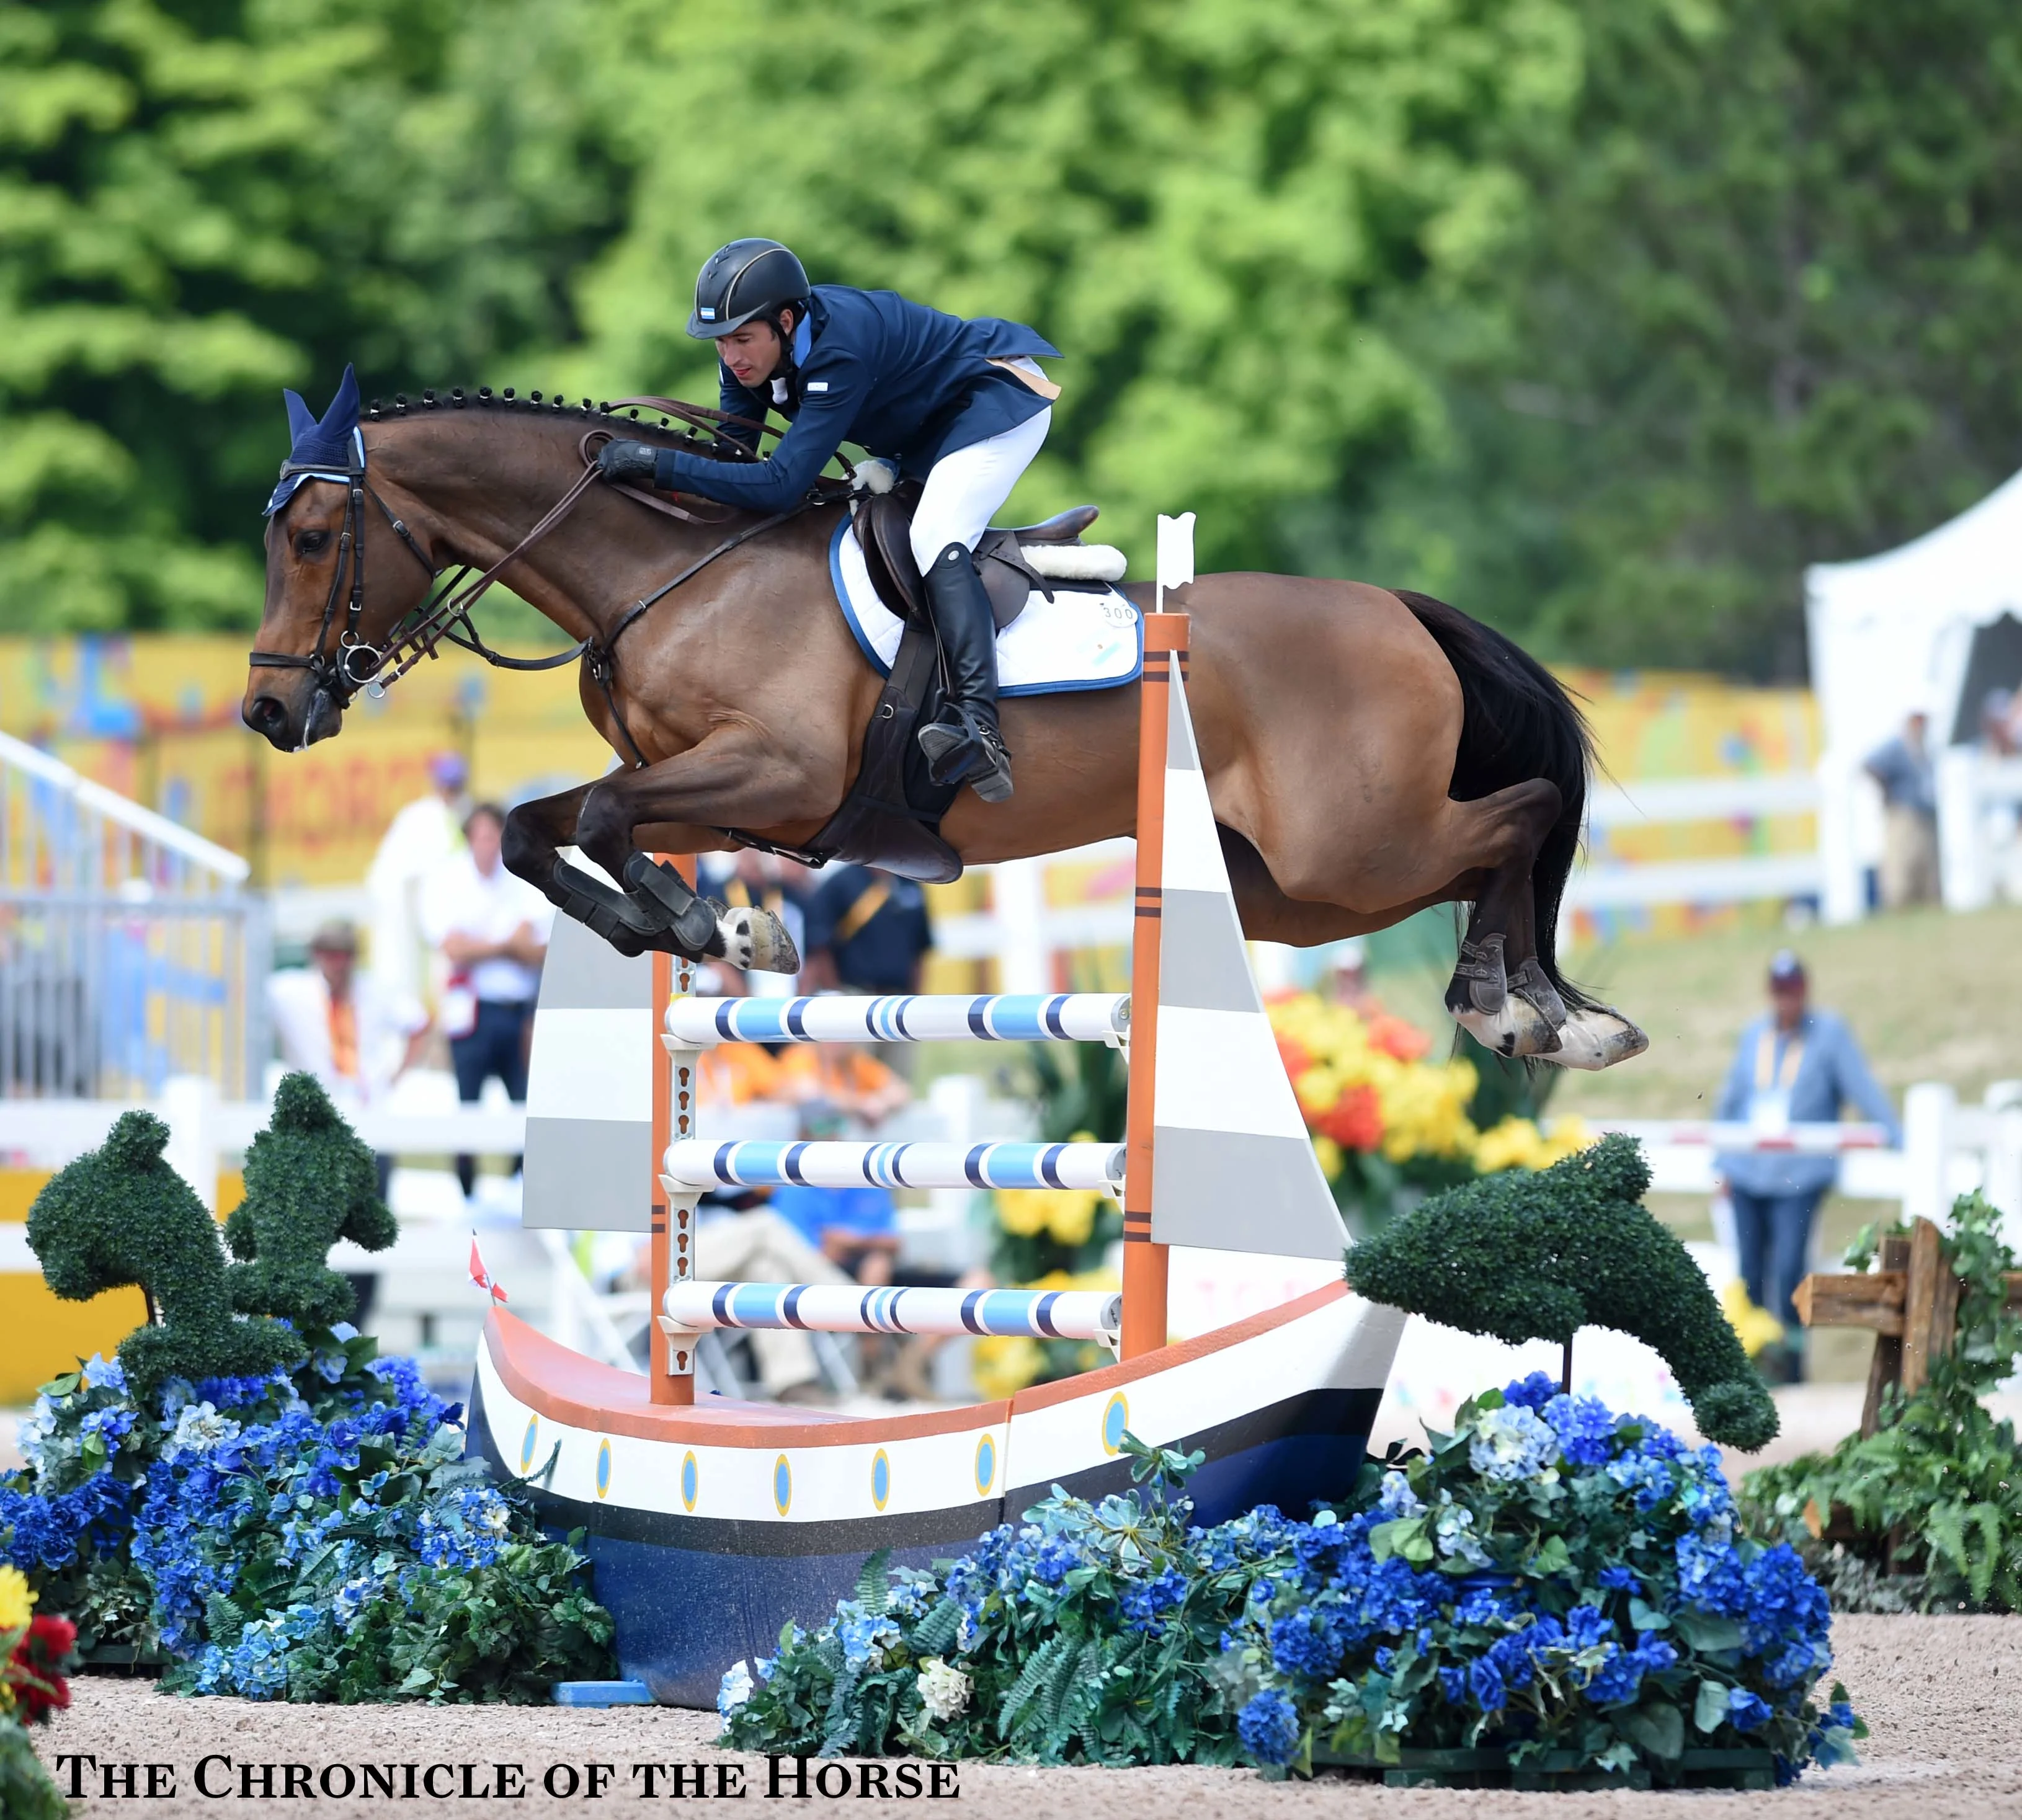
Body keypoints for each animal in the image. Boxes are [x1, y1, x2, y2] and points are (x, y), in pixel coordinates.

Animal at [244, 388, 1650, 1067]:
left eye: (312, 537)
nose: (267, 709)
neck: (672, 568)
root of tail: (1402, 610)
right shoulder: (699, 780)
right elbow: (550, 830)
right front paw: (709, 927)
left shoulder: (777, 772)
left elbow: (592, 814)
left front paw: (708, 923)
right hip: (1299, 891)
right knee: (1481, 852)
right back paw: (1526, 1003)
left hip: (1347, 846)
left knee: (1521, 819)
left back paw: (1526, 1011)